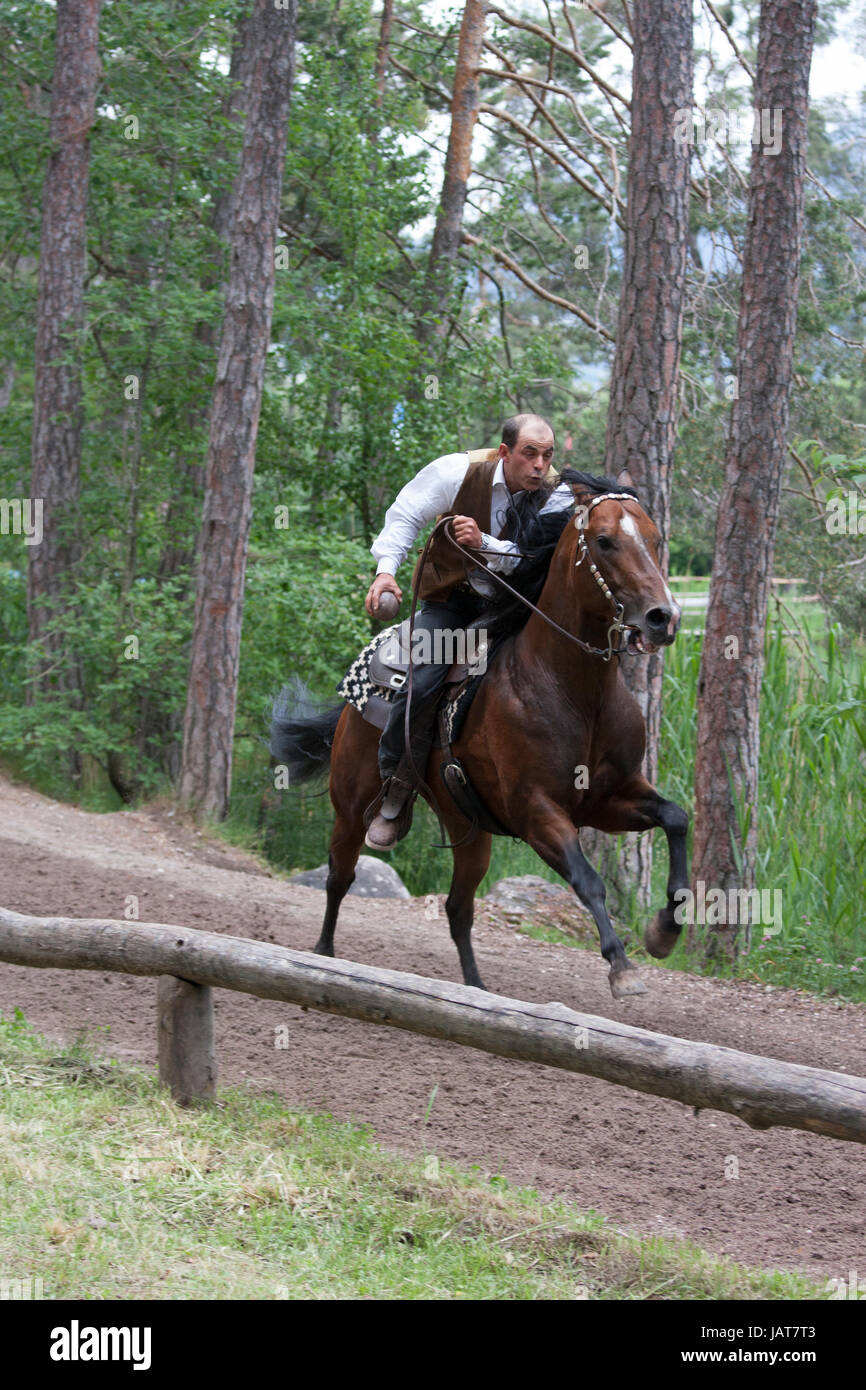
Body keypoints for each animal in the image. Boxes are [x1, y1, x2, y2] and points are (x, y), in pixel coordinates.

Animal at [271, 469, 692, 1000]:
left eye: (655, 540)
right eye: (604, 541)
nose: (663, 617)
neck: (575, 691)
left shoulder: (608, 799)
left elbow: (676, 819)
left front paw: (663, 931)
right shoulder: (537, 813)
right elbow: (588, 880)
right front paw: (622, 967)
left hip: (468, 829)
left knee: (457, 908)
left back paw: (474, 988)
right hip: (351, 807)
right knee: (339, 878)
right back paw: (324, 954)